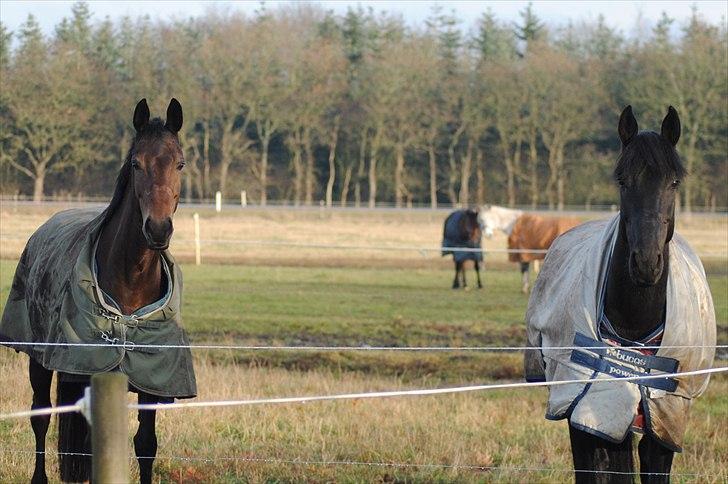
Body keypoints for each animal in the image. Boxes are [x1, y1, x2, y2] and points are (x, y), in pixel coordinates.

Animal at [0, 98, 196, 484]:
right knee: (40, 415)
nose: (158, 229)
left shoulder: (151, 383)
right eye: (136, 163)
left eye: (180, 163)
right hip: (39, 360)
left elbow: (146, 444)